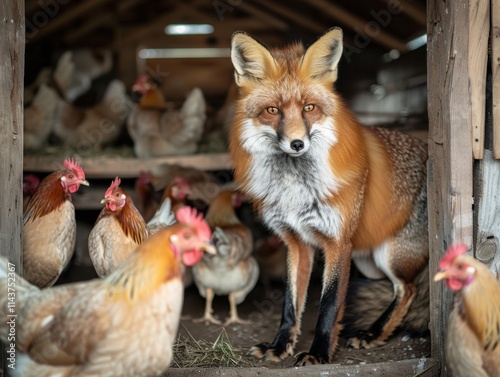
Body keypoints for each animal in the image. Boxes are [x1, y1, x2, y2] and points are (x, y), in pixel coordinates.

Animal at [230, 27, 430, 362]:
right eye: (272, 111)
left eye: (309, 108)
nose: (297, 144)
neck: (294, 189)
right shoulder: (295, 242)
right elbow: (290, 303)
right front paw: (280, 345)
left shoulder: (338, 242)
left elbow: (329, 303)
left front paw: (319, 353)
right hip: (370, 263)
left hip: (391, 254)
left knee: (409, 289)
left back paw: (373, 333)